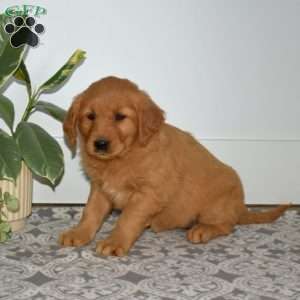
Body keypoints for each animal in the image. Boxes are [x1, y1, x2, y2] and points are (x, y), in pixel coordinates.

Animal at [59, 77, 290, 255]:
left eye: (120, 117)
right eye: (90, 116)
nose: (100, 144)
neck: (123, 156)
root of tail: (241, 206)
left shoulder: (149, 193)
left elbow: (127, 219)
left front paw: (115, 241)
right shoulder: (100, 188)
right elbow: (90, 212)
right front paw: (79, 233)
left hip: (214, 205)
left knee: (227, 225)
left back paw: (203, 230)